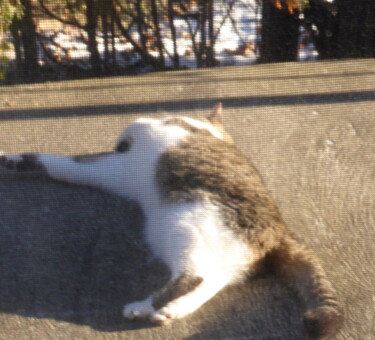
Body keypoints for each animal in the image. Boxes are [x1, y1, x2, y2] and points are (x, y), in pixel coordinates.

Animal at [0, 104, 344, 340]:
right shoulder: (111, 171)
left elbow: (135, 124)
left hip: (190, 228)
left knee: (194, 276)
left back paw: (143, 307)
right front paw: (14, 163)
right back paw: (169, 311)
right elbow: (58, 165)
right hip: (219, 255)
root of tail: (282, 231)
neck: (206, 130)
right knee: (209, 283)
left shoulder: (141, 143)